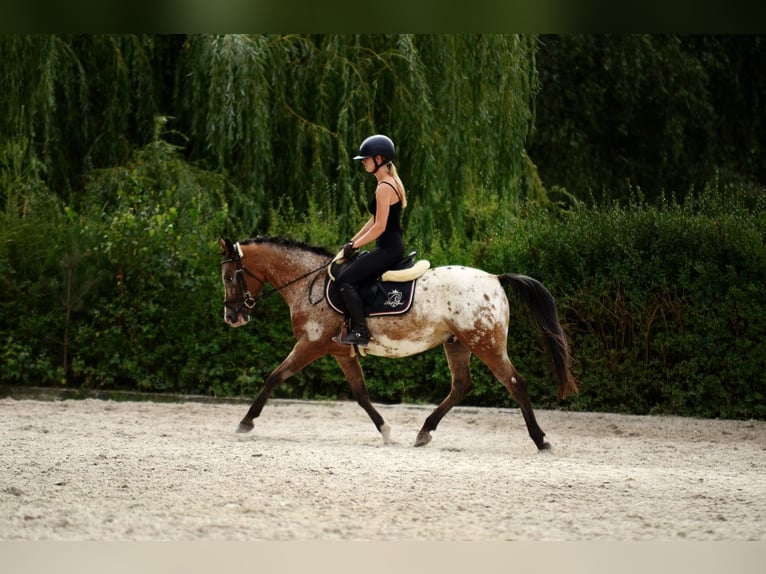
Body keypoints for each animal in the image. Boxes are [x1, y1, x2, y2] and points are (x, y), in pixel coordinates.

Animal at [220, 236, 577, 450]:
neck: (311, 282)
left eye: (228, 277)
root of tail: (494, 279)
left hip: (485, 343)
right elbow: (361, 394)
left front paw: (246, 421)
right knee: (462, 385)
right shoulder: (341, 351)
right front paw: (386, 430)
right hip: (457, 343)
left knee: (515, 383)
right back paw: (424, 432)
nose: (232, 317)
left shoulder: (312, 344)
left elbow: (275, 377)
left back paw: (540, 439)